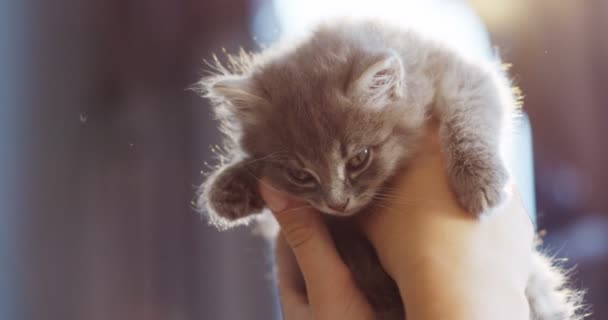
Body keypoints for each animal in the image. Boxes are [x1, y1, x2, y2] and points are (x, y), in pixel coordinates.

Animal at [198, 19, 584, 320]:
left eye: (359, 159)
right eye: (301, 175)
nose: (337, 203)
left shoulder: (463, 75)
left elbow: (470, 117)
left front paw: (479, 179)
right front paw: (228, 187)